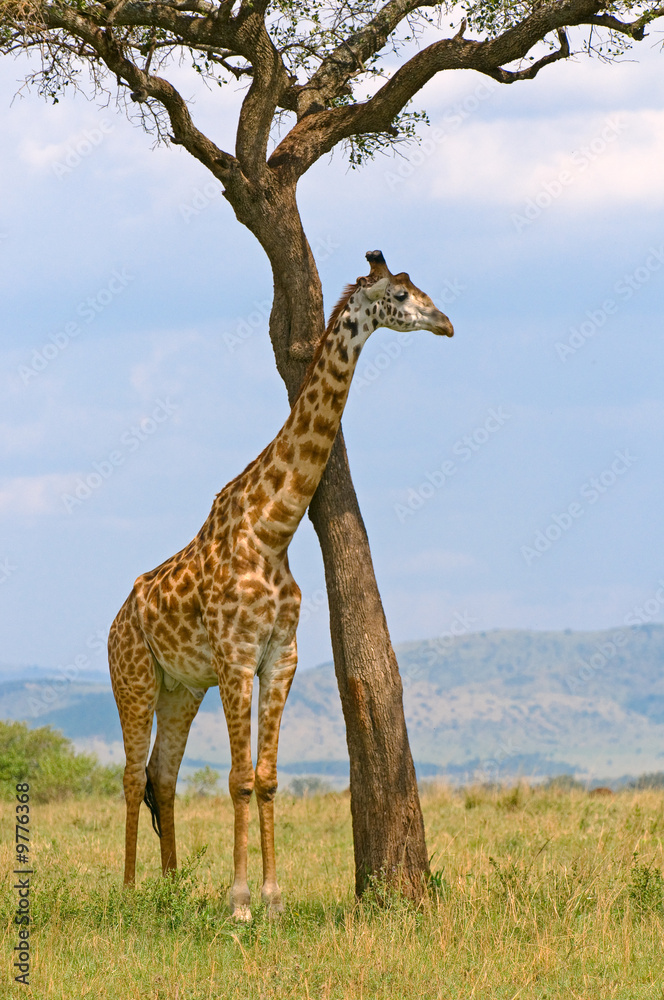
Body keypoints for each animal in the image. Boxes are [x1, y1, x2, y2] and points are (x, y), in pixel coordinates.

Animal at [108, 250, 454, 921]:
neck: (272, 529)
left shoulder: (280, 657)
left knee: (163, 775)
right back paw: (133, 893)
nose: (448, 323)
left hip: (179, 688)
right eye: (402, 294)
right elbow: (241, 779)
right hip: (132, 680)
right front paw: (239, 903)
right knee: (134, 774)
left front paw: (272, 901)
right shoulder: (237, 659)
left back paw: (168, 889)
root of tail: (113, 622)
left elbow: (266, 777)